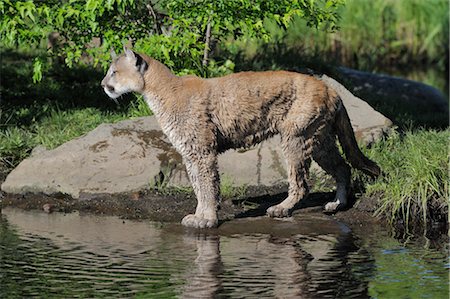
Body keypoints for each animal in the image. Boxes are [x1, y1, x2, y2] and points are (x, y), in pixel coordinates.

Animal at [100, 48, 378, 229]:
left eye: (114, 71)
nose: (103, 84)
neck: (158, 91)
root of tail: (331, 88)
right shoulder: (190, 153)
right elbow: (198, 186)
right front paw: (198, 216)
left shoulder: (202, 152)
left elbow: (207, 186)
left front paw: (207, 220)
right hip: (318, 139)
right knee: (342, 167)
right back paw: (337, 204)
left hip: (296, 138)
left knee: (301, 183)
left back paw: (281, 208)